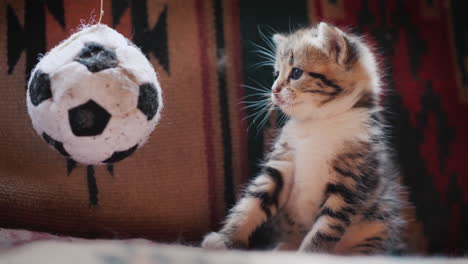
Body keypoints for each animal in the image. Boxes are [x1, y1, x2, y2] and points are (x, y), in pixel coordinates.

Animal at [201, 23, 406, 256]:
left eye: (296, 73)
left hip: (378, 224)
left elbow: (328, 225)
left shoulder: (350, 179)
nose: (274, 90)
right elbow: (253, 201)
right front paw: (226, 239)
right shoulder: (282, 162)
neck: (318, 121)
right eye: (276, 74)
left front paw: (311, 254)